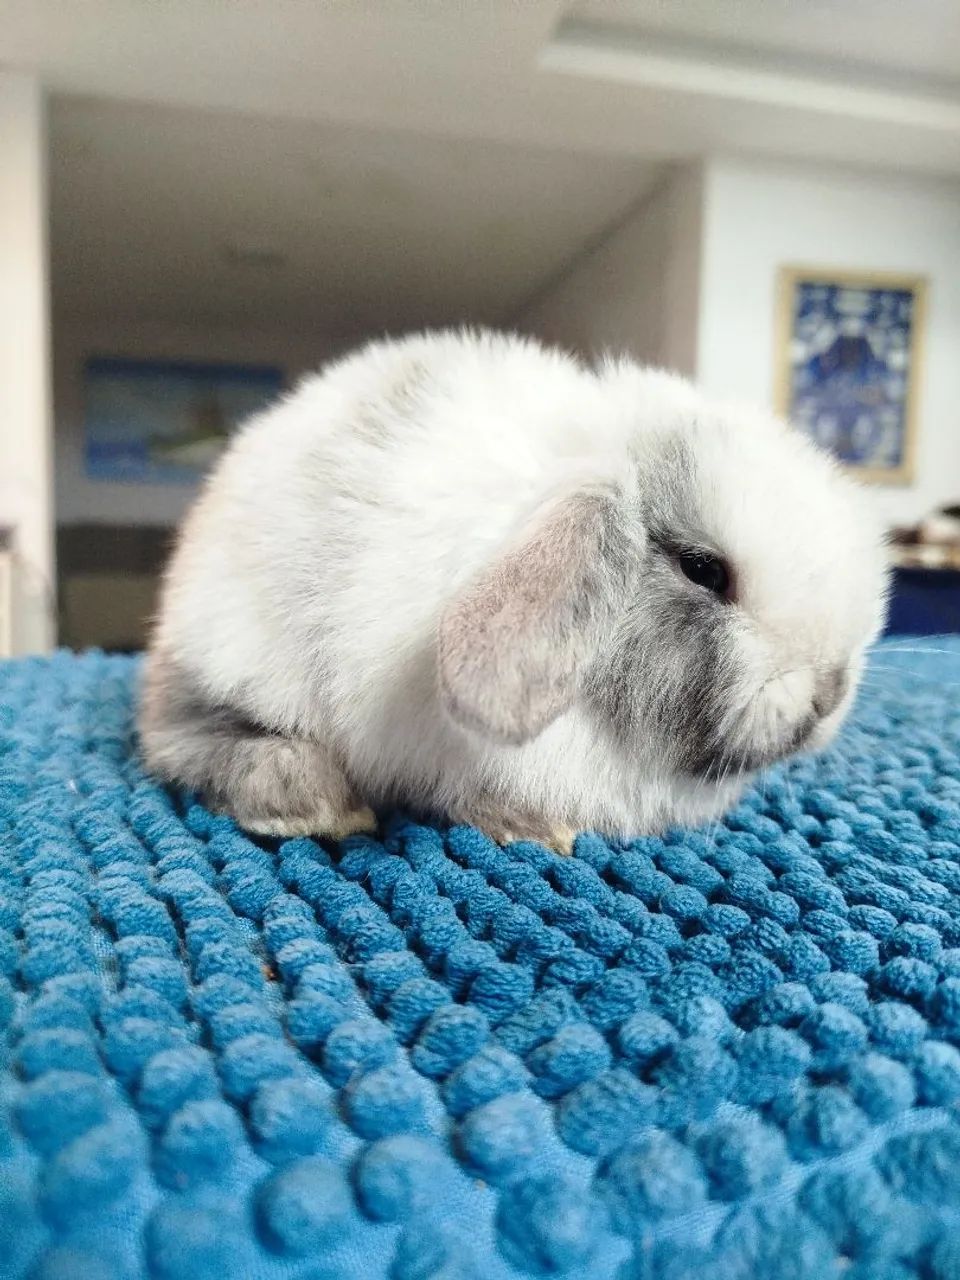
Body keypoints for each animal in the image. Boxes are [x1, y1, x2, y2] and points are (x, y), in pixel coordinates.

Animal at [140, 328, 888, 852]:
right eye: (702, 569)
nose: (829, 693)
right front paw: (531, 827)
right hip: (238, 650)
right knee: (181, 738)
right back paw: (318, 803)